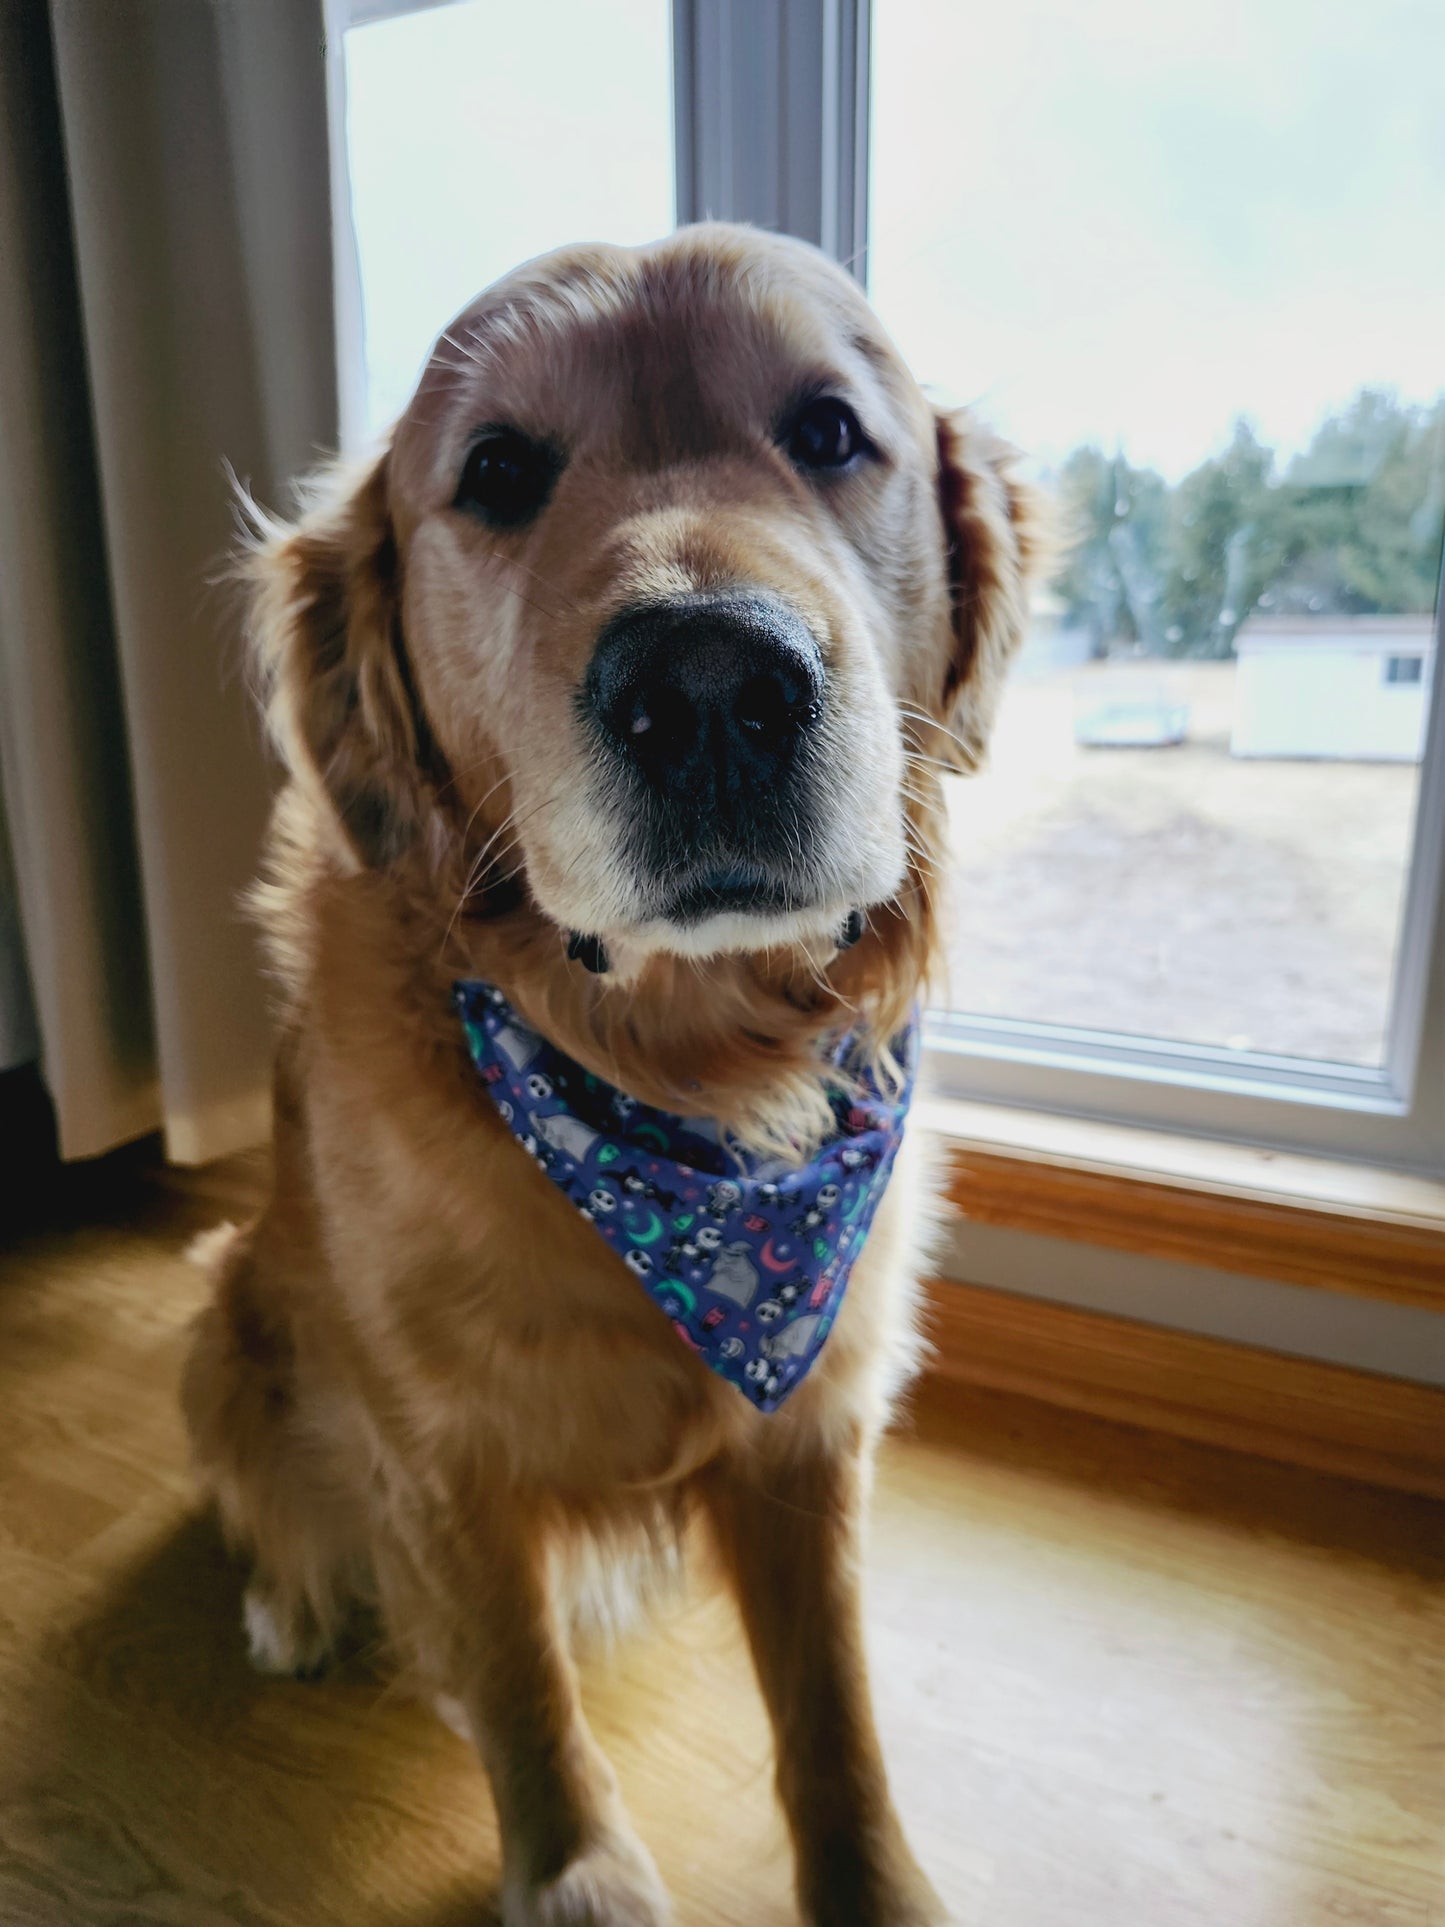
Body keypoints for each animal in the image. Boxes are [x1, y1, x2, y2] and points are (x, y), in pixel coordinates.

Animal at [181, 218, 1048, 1919]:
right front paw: (574, 1866)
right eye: (500, 470)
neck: (686, 1088)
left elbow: (832, 1702)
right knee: (271, 1498)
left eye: (830, 431)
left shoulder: (813, 1420)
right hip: (224, 1309)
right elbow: (520, 1684)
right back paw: (292, 1604)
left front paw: (871, 1878)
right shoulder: (436, 1445)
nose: (711, 683)